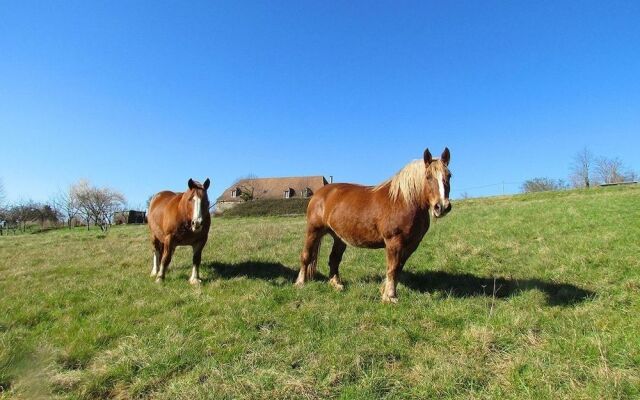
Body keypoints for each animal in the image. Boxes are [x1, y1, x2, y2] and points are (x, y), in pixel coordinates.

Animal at [298, 148, 452, 302]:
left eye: (449, 175)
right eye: (428, 176)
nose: (442, 206)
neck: (404, 201)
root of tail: (320, 193)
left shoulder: (412, 244)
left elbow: (398, 268)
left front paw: (386, 291)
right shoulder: (394, 242)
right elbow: (393, 268)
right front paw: (390, 296)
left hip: (339, 237)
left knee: (334, 259)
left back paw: (336, 284)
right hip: (313, 231)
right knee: (306, 255)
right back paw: (300, 283)